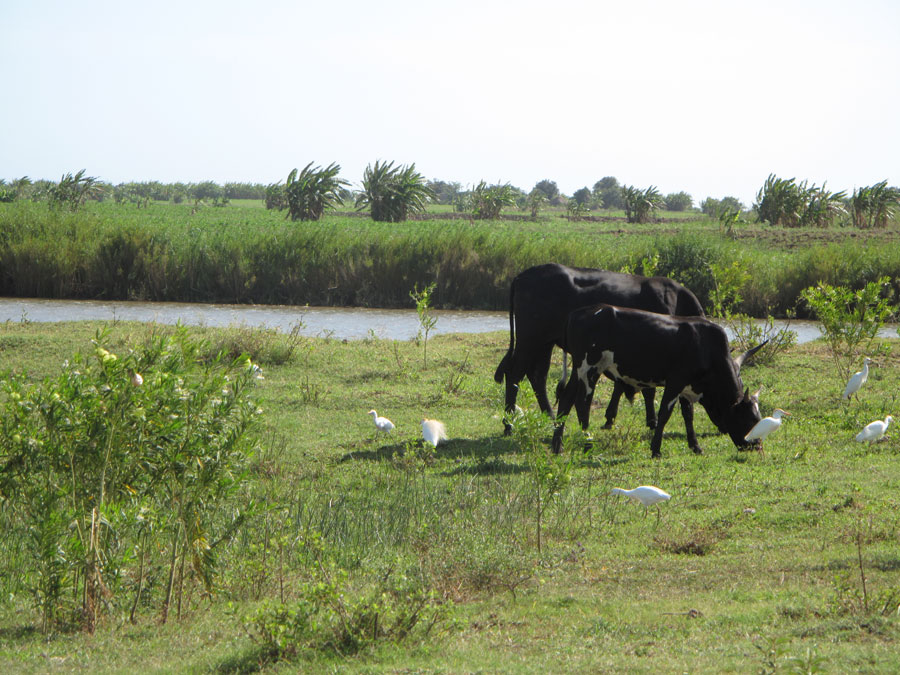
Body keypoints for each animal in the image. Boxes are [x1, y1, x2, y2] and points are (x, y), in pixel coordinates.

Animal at [492, 262, 704, 436]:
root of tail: (523, 275)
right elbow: (646, 390)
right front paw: (651, 421)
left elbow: (623, 386)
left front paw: (611, 417)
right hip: (530, 340)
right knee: (515, 375)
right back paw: (509, 425)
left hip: (544, 343)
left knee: (537, 376)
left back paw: (551, 418)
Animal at [552, 306, 764, 460]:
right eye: (750, 420)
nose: (758, 446)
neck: (706, 347)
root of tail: (578, 312)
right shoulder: (675, 382)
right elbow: (664, 414)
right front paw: (656, 449)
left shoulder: (686, 388)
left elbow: (688, 416)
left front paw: (695, 446)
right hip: (590, 368)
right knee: (582, 404)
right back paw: (587, 444)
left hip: (577, 370)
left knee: (566, 400)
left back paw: (557, 446)